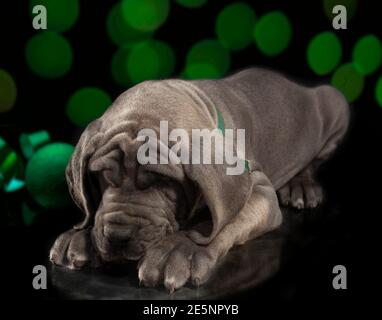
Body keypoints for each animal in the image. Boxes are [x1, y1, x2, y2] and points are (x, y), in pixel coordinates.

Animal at [49, 68, 348, 292]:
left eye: (162, 181)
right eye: (100, 177)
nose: (117, 236)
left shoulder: (260, 190)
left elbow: (224, 221)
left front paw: (180, 250)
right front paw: (81, 235)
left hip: (334, 102)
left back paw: (301, 186)